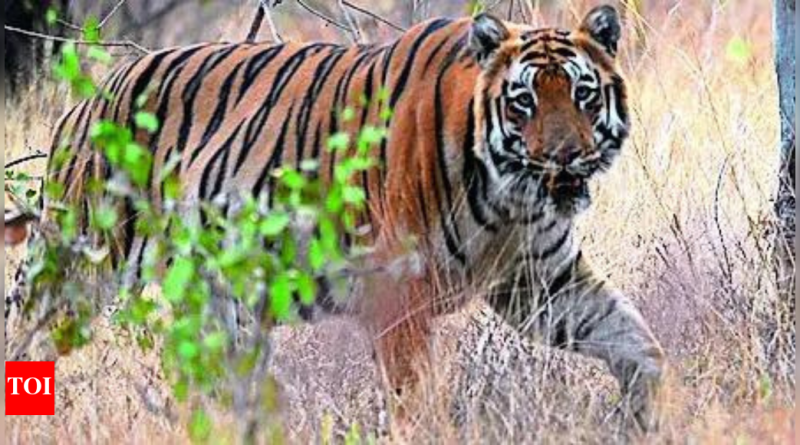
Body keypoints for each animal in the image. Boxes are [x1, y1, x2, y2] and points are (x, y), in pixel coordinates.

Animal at [8, 5, 665, 430]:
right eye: (524, 101)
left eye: (582, 94)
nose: (566, 156)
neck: (511, 198)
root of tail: (91, 96)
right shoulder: (401, 291)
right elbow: (416, 399)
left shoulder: (539, 281)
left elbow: (637, 341)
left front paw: (647, 416)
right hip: (78, 266)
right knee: (24, 335)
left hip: (222, 308)